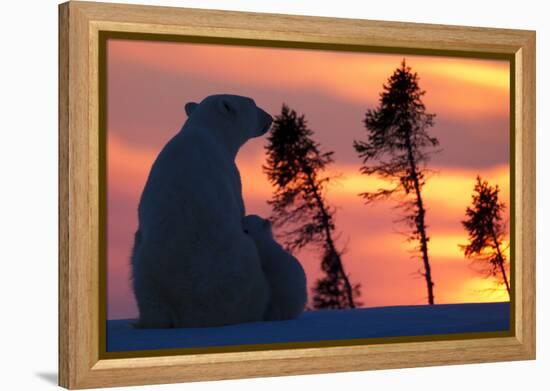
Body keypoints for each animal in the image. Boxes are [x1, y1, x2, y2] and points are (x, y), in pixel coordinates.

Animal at [130, 95, 276, 328]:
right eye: (253, 103)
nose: (270, 118)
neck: (205, 130)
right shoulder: (230, 173)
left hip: (145, 276)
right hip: (237, 269)